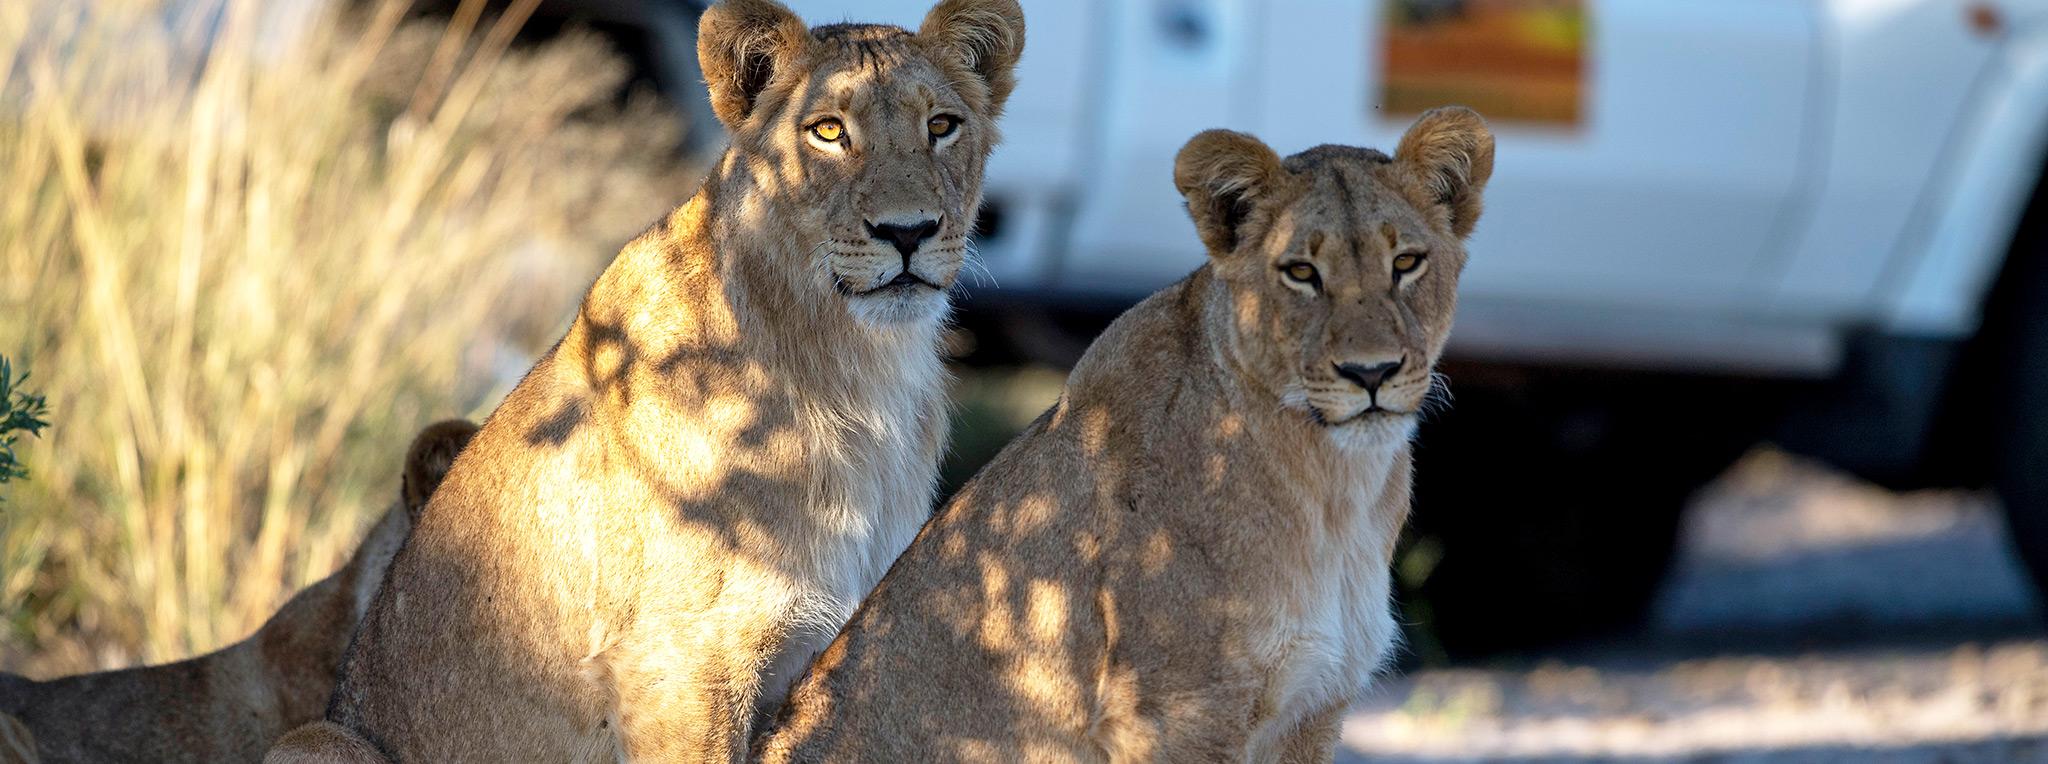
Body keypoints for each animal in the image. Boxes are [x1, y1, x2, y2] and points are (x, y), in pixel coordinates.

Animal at [268, 2, 1025, 761]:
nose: (910, 231)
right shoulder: (681, 664)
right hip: (318, 738)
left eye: (942, 125)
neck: (856, 366)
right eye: (829, 131)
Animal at [753, 109, 1495, 763]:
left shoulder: (1313, 710)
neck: (1336, 488)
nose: (1371, 372)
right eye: (1301, 273)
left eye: (1407, 262)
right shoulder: (1176, 713)